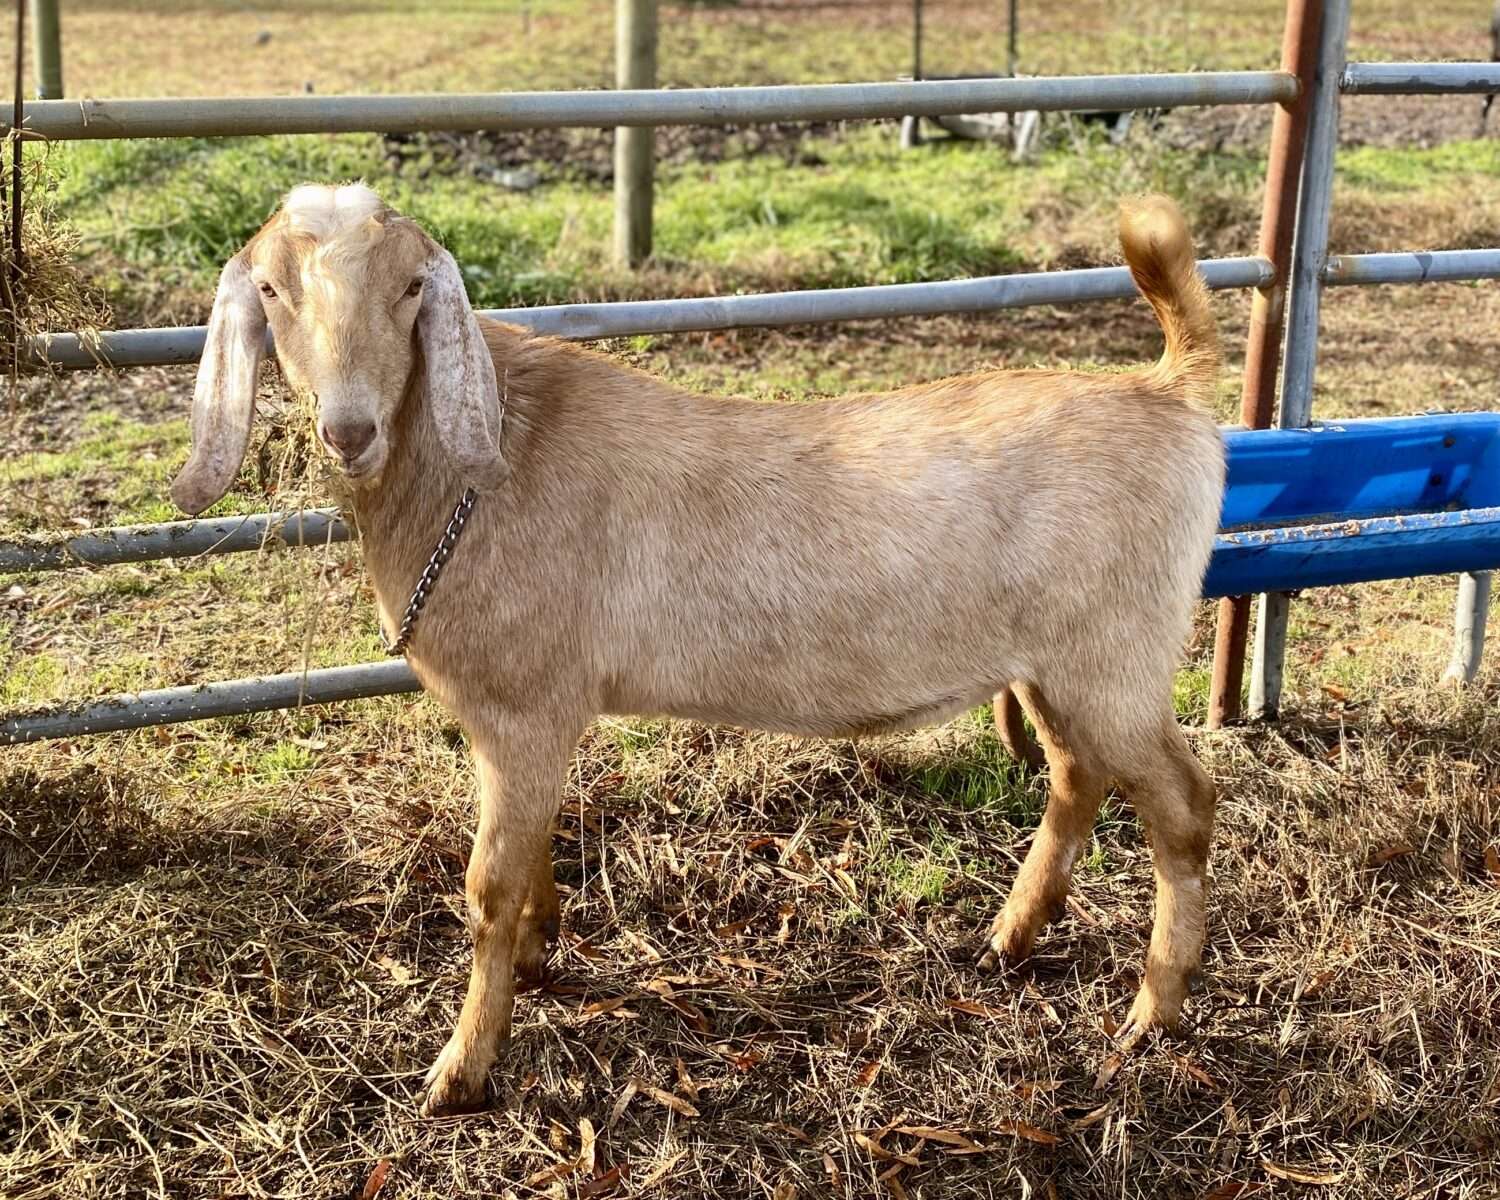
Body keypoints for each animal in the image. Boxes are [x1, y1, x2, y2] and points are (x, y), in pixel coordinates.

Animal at [172, 182, 1224, 1116]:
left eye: (410, 289)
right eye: (271, 290)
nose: (349, 429)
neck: (485, 464)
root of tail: (1168, 391)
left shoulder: (523, 706)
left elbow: (486, 886)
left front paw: (461, 1072)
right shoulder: (521, 723)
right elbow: (529, 851)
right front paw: (540, 952)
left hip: (1114, 658)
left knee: (1183, 807)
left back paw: (1153, 1010)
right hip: (1058, 665)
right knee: (1075, 778)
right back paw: (1013, 936)